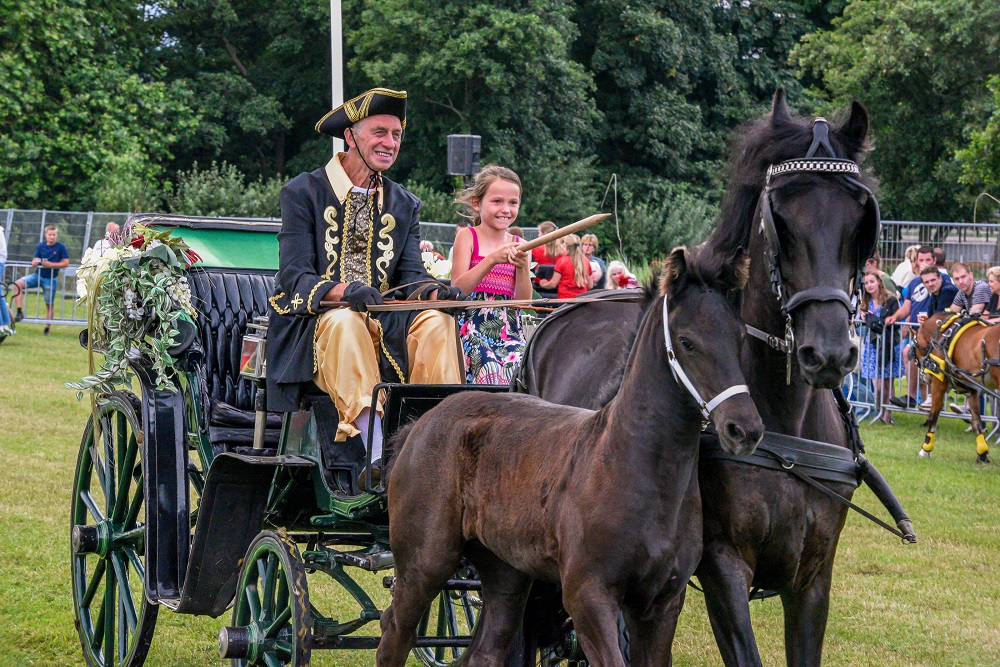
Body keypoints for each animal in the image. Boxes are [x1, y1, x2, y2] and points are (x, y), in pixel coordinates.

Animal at [378, 247, 760, 667]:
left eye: (740, 337)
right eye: (687, 342)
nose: (744, 428)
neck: (633, 462)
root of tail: (421, 423)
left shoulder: (661, 604)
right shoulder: (588, 595)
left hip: (506, 575)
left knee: (483, 651)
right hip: (425, 561)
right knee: (395, 630)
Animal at [520, 90, 880, 667]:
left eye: (859, 219)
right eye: (779, 219)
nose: (826, 353)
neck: (786, 428)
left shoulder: (813, 575)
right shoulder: (722, 566)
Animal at [916, 314, 992, 464]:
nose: (925, 377)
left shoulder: (939, 384)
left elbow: (933, 417)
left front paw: (926, 449)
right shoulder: (971, 390)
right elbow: (976, 421)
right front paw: (982, 454)